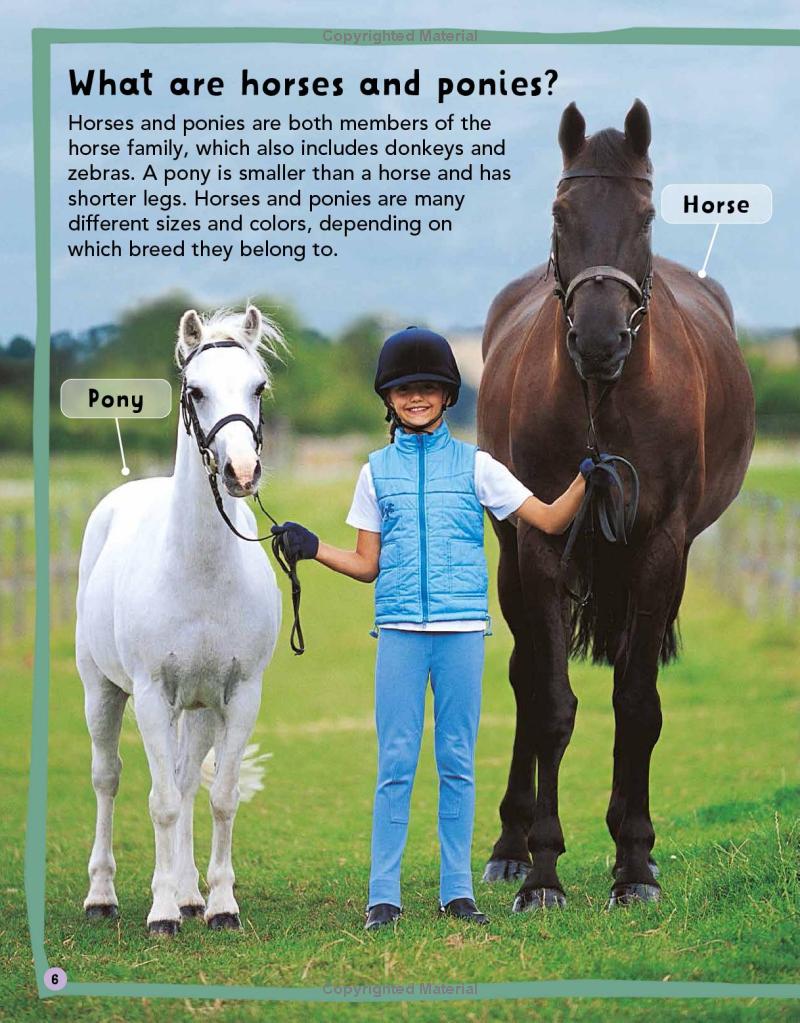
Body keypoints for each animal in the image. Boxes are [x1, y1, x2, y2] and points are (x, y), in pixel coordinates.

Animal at [75, 305, 283, 934]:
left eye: (257, 387)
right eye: (196, 391)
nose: (241, 470)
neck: (201, 575)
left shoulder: (239, 696)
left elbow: (220, 797)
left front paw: (220, 905)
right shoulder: (150, 696)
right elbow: (161, 802)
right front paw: (162, 912)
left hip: (199, 708)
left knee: (190, 780)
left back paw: (191, 894)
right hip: (104, 693)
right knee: (109, 778)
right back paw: (104, 897)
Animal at [478, 100, 755, 911]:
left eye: (646, 213)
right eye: (560, 212)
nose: (599, 341)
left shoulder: (660, 547)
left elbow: (636, 704)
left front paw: (634, 863)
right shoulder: (541, 549)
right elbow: (549, 703)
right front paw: (542, 869)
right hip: (514, 559)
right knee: (524, 676)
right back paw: (509, 845)